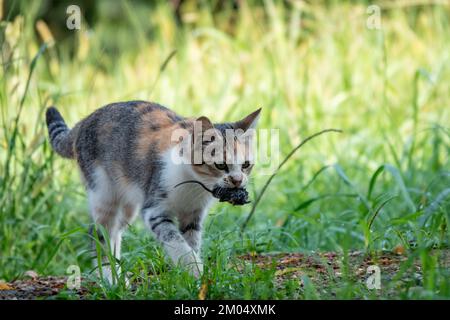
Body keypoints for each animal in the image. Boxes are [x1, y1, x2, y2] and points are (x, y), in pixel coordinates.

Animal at [45, 100, 260, 282]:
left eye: (246, 165)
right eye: (221, 165)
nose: (237, 180)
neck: (194, 186)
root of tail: (86, 119)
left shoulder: (193, 214)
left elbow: (190, 242)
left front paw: (188, 276)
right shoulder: (154, 209)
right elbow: (177, 241)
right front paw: (195, 270)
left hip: (129, 203)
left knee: (115, 232)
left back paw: (117, 272)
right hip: (103, 192)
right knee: (98, 233)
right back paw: (110, 278)